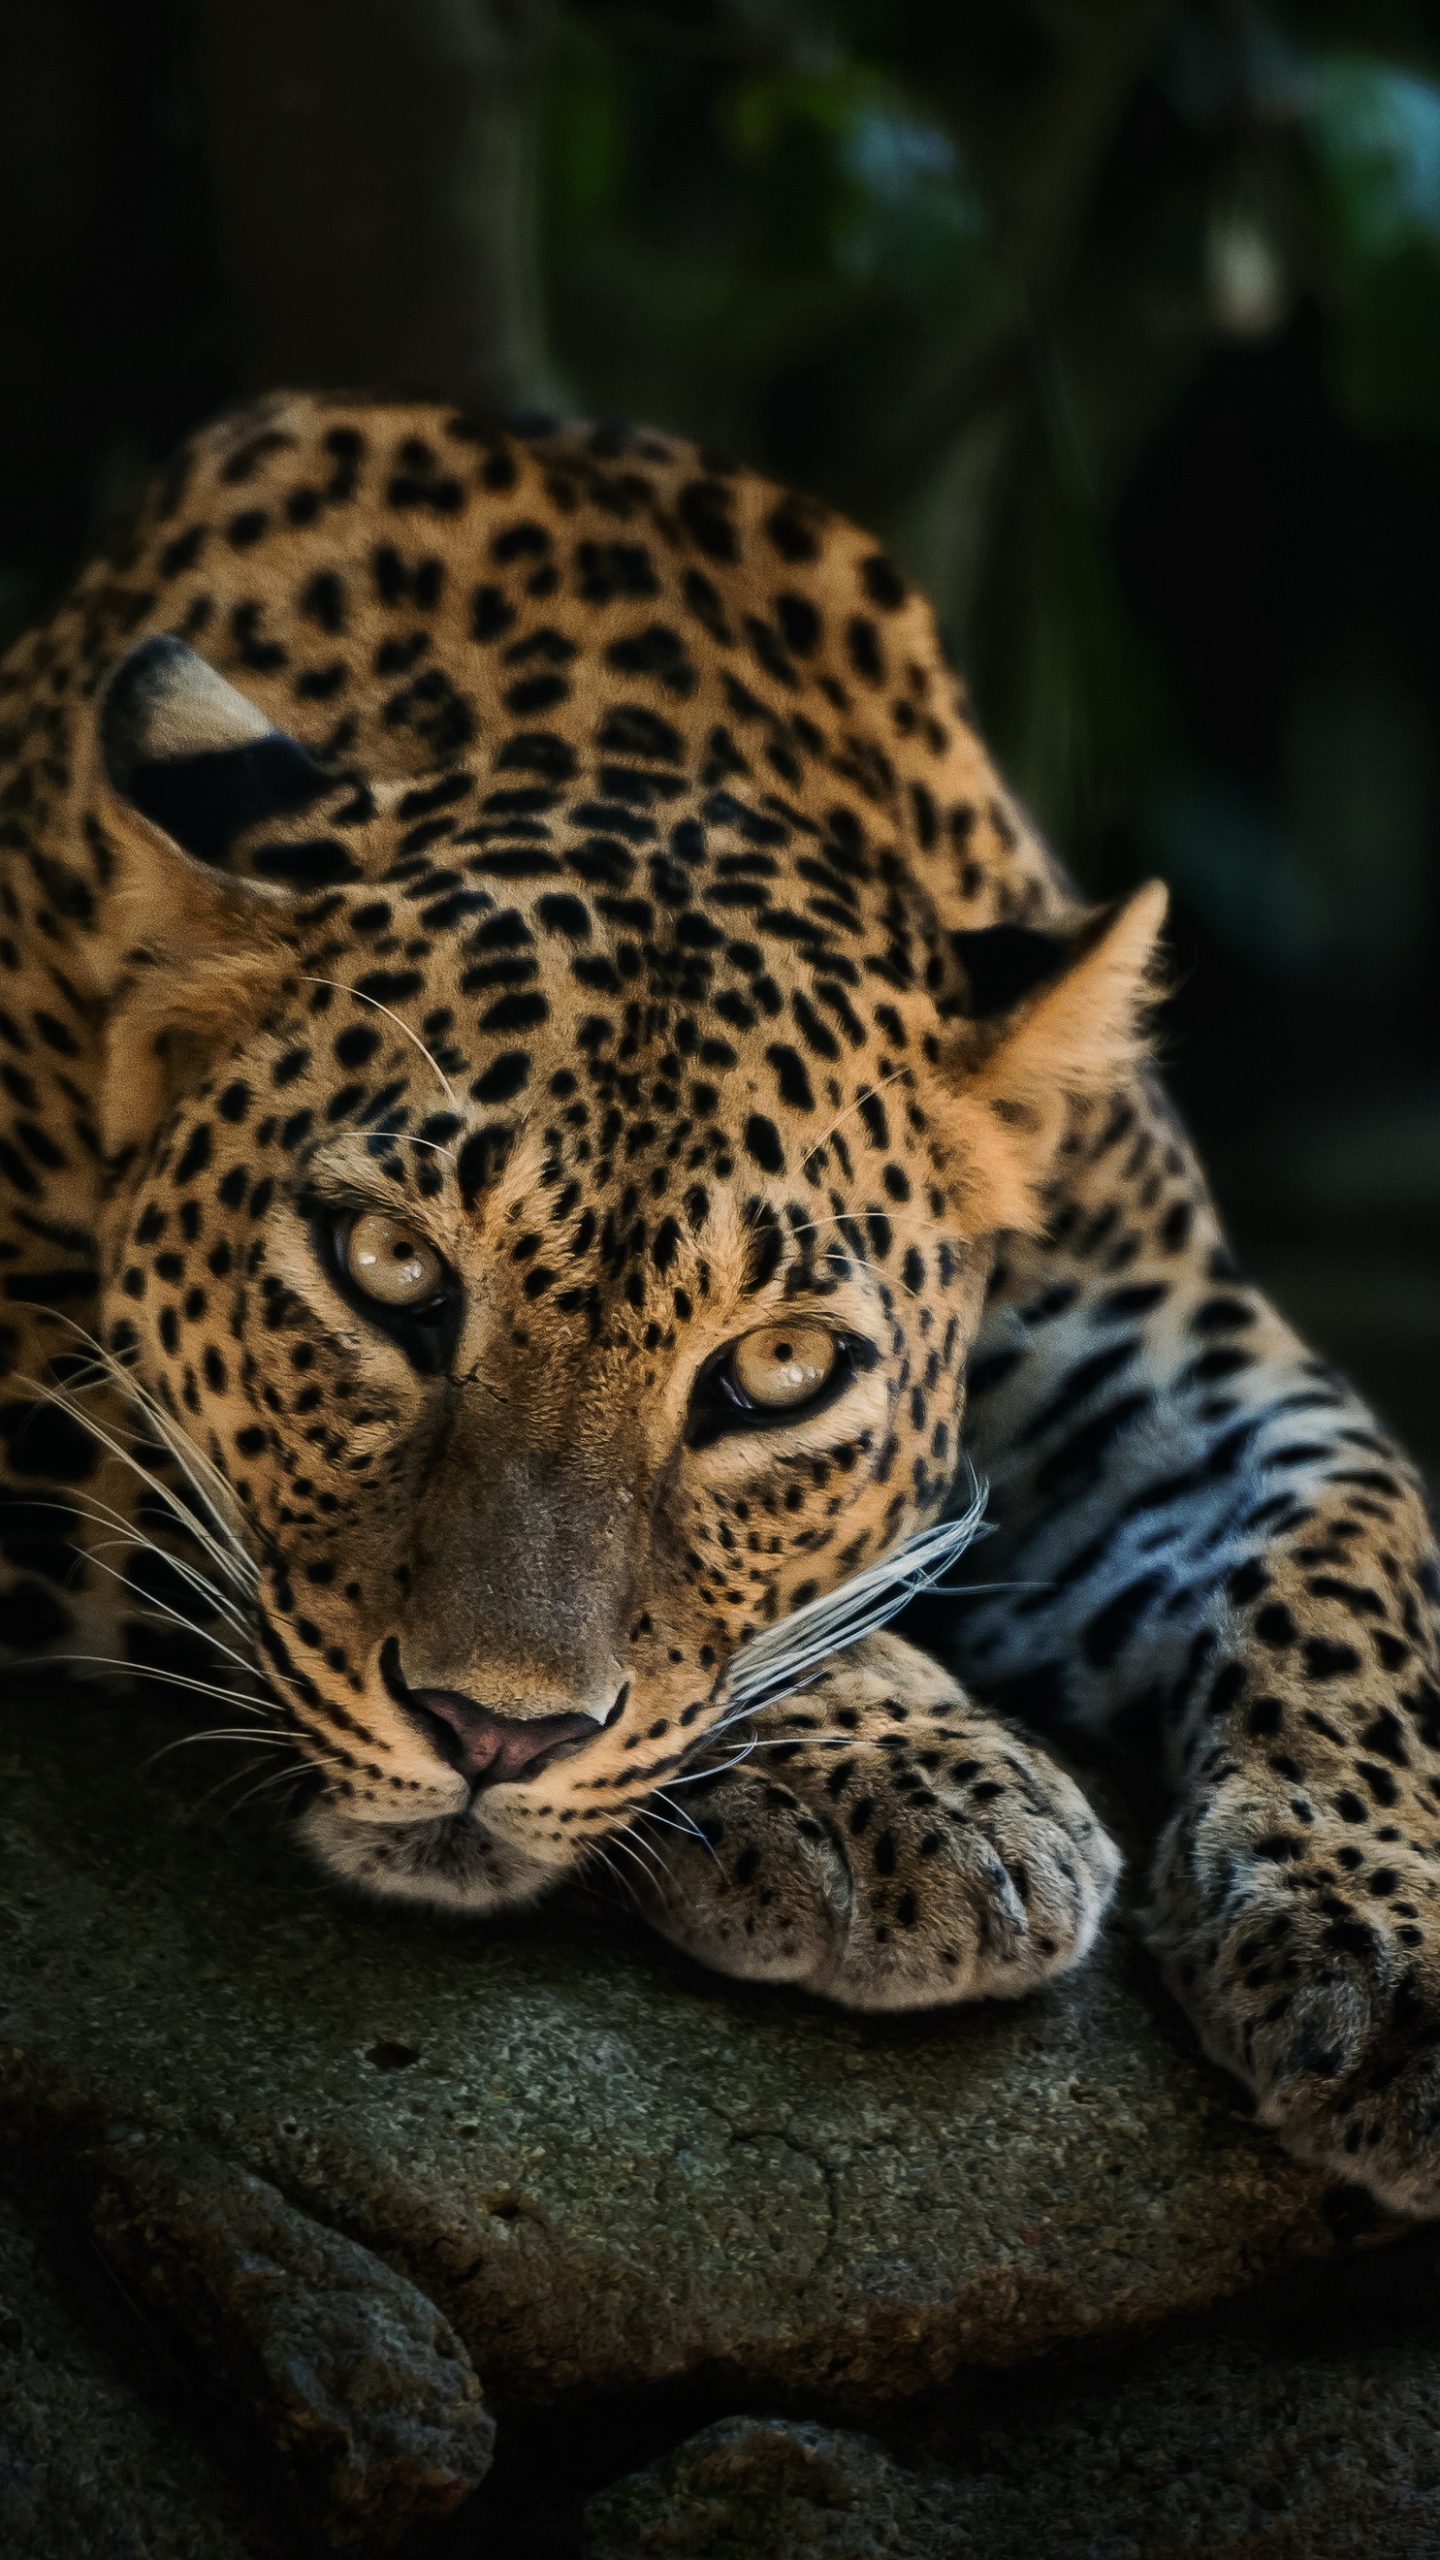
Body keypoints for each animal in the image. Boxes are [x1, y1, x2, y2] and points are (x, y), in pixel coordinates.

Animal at [1, 389, 1438, 2217]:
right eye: (391, 1270)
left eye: (781, 1369)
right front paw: (910, 1778)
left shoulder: (1161, 1343)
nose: (490, 1737)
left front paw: (1393, 1931)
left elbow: (1356, 1539)